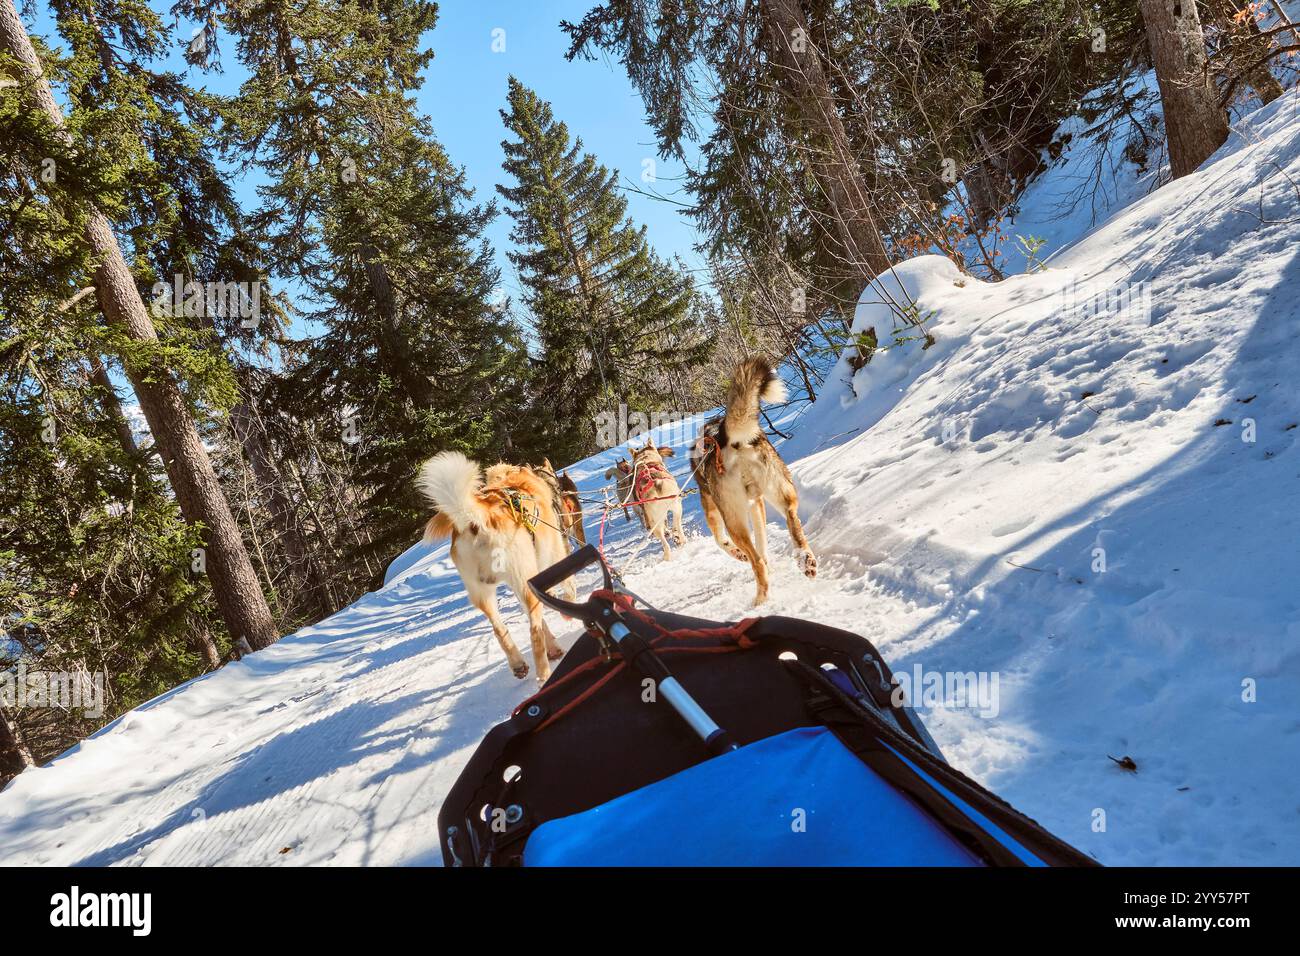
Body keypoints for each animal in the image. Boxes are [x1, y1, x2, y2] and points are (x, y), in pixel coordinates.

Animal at [418, 455, 577, 686]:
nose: (559, 489)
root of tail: (475, 521)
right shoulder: (556, 556)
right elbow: (569, 586)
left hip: (483, 592)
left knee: (500, 628)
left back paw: (519, 663)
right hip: (524, 580)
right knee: (534, 631)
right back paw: (544, 674)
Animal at [691, 358, 811, 606]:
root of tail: (725, 437)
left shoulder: (713, 510)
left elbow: (721, 541)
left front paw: (737, 554)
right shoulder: (757, 503)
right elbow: (762, 541)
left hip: (733, 520)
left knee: (756, 561)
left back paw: (760, 599)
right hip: (781, 490)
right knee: (791, 518)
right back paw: (806, 561)